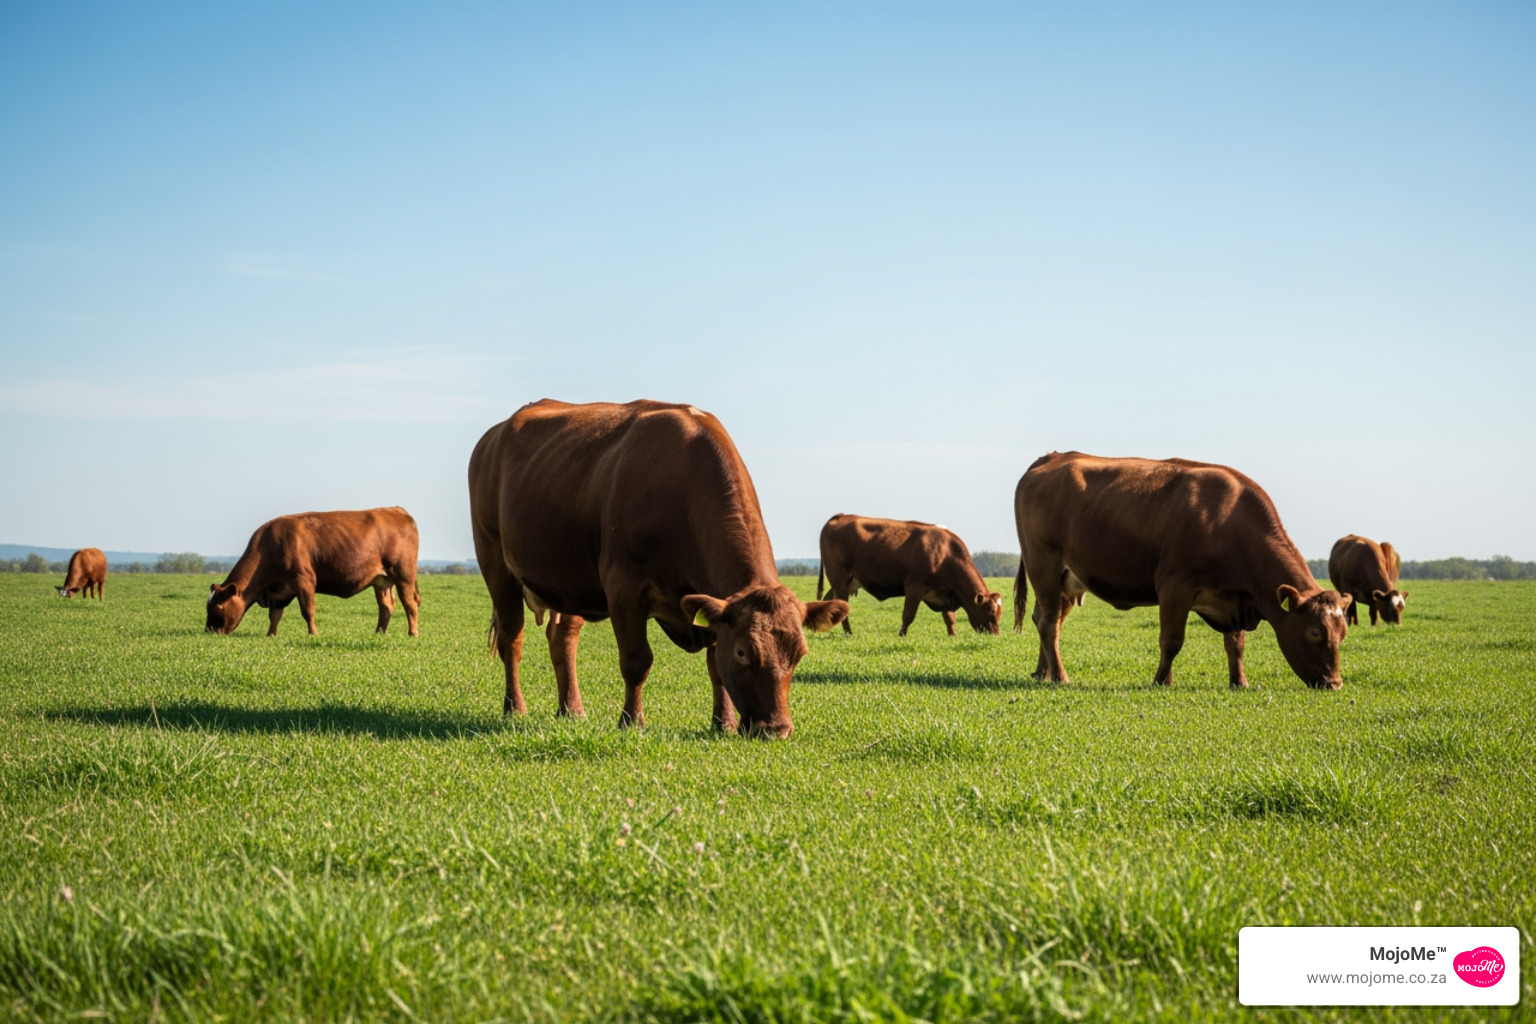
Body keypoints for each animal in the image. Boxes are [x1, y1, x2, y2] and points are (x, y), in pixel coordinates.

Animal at [205, 507, 421, 637]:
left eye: (217, 607)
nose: (208, 631)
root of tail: (395, 509)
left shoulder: (304, 580)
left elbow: (308, 610)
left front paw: (313, 634)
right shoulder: (278, 591)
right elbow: (274, 615)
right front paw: (270, 635)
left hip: (404, 575)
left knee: (410, 604)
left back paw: (412, 634)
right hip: (382, 580)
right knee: (386, 606)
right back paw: (379, 633)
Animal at [468, 399, 848, 737]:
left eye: (799, 654)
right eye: (743, 652)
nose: (776, 729)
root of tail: (493, 434)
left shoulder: (710, 602)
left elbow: (715, 666)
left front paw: (723, 723)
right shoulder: (623, 589)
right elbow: (637, 661)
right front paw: (631, 721)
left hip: (571, 581)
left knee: (562, 639)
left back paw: (572, 710)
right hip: (495, 563)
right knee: (512, 638)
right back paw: (514, 708)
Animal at [816, 515, 1002, 636]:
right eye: (989, 612)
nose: (995, 635)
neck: (945, 554)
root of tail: (840, 516)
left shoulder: (945, 594)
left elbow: (949, 618)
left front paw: (952, 635)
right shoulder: (914, 587)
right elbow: (908, 615)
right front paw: (902, 635)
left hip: (845, 583)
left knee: (829, 601)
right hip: (839, 580)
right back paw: (848, 633)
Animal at [1014, 452, 1353, 689]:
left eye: (1343, 632)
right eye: (1314, 631)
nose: (1335, 684)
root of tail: (1053, 456)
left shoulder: (1233, 596)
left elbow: (1236, 644)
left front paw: (1239, 682)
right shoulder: (1174, 588)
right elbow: (1172, 640)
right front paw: (1161, 681)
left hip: (1066, 579)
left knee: (1046, 620)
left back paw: (1043, 673)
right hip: (1043, 564)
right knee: (1049, 623)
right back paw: (1060, 677)